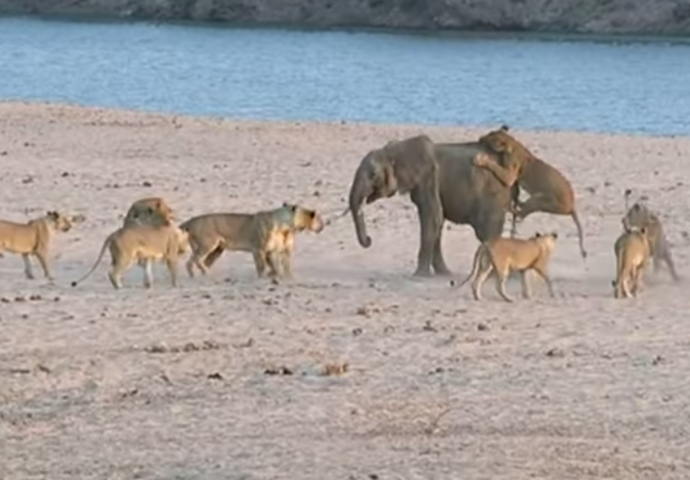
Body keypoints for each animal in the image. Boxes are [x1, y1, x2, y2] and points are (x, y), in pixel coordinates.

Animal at [180, 203, 326, 282]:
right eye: (318, 217)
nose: (323, 225)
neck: (286, 227)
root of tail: (191, 220)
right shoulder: (258, 249)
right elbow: (262, 267)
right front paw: (263, 277)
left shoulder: (274, 251)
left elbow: (280, 267)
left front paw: (284, 278)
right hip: (208, 244)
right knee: (194, 261)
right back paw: (202, 274)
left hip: (217, 250)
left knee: (198, 262)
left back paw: (202, 276)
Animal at [350, 134, 516, 278]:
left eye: (373, 174)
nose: (369, 240)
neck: (394, 150)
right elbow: (438, 221)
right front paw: (444, 273)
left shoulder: (428, 178)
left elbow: (433, 217)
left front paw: (419, 276)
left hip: (493, 198)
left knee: (487, 234)